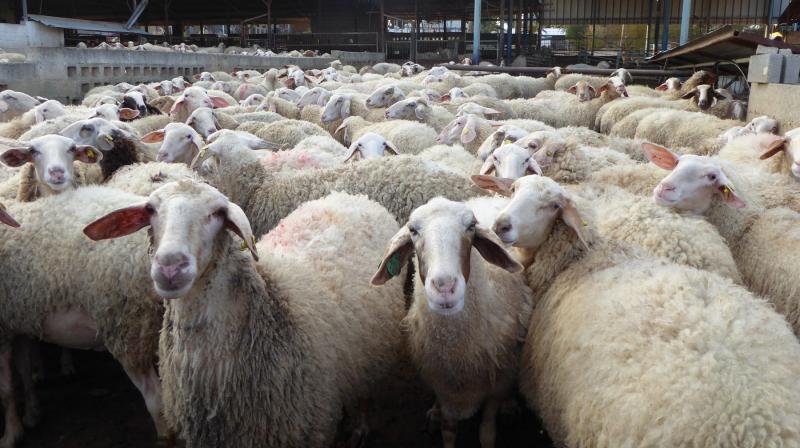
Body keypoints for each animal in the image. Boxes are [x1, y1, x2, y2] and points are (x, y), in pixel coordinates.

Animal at [0, 186, 172, 448]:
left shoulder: (2, 329)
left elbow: (7, 388)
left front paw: (10, 434)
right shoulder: (19, 321)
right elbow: (24, 370)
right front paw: (31, 414)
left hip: (129, 330)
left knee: (157, 402)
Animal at [84, 182, 406, 447]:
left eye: (217, 212)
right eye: (150, 209)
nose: (171, 266)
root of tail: (351, 197)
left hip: (372, 354)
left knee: (365, 393)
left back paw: (360, 428)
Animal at [371, 197, 531, 448]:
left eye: (471, 226)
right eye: (413, 230)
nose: (444, 287)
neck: (457, 351)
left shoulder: (496, 384)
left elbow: (487, 432)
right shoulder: (444, 387)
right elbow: (448, 432)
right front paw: (440, 419)